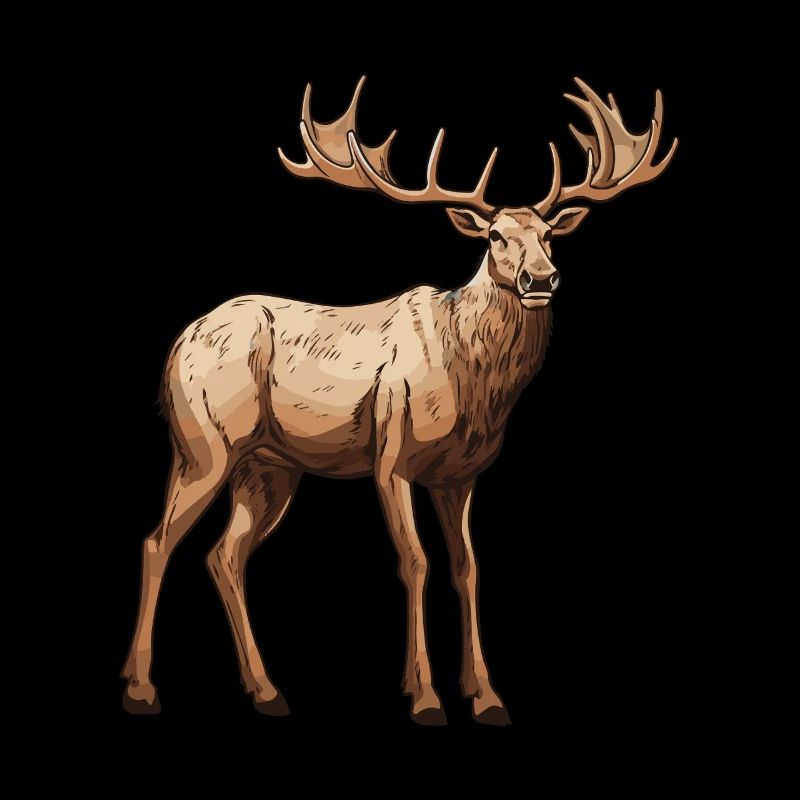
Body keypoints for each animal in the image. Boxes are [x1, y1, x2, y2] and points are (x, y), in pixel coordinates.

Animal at [122, 76, 677, 725]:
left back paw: (266, 690)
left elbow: (468, 568)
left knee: (225, 554)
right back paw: (140, 688)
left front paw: (486, 696)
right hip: (204, 441)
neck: (473, 382)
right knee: (158, 540)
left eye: (547, 236)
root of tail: (178, 345)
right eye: (495, 237)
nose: (542, 279)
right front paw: (426, 697)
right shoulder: (392, 455)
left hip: (270, 466)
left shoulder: (461, 474)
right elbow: (415, 562)